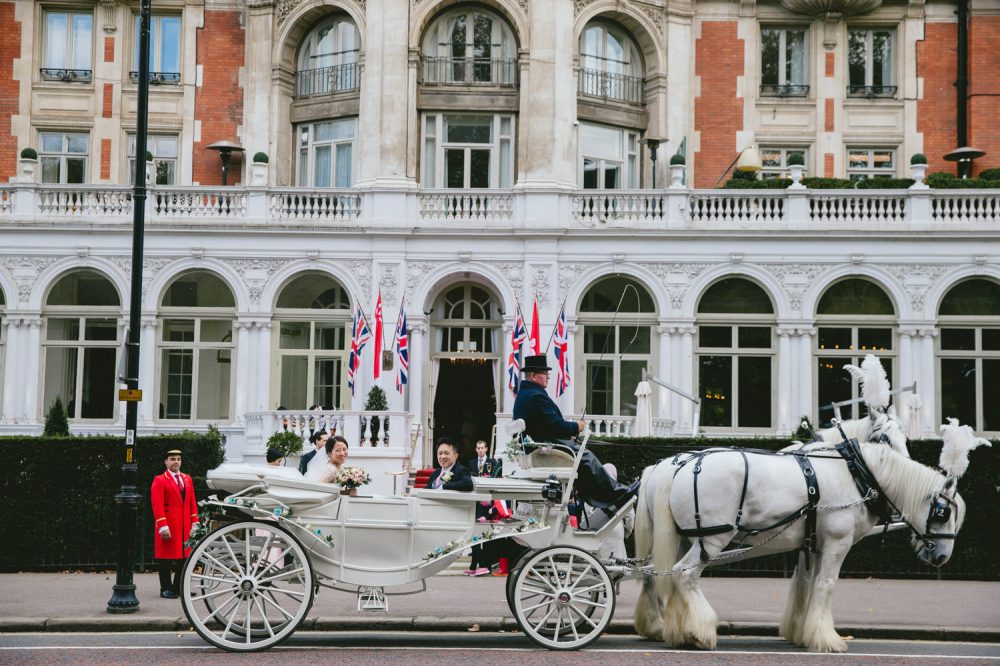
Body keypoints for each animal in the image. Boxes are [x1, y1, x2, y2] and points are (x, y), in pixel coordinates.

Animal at [632, 418, 984, 652]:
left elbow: (805, 584)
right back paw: (701, 630)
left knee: (658, 576)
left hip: (683, 538)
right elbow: (826, 586)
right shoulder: (837, 544)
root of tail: (677, 465)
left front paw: (800, 632)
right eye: (943, 513)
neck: (853, 471)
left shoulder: (811, 544)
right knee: (684, 574)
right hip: (711, 539)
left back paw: (674, 629)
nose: (941, 557)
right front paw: (827, 638)